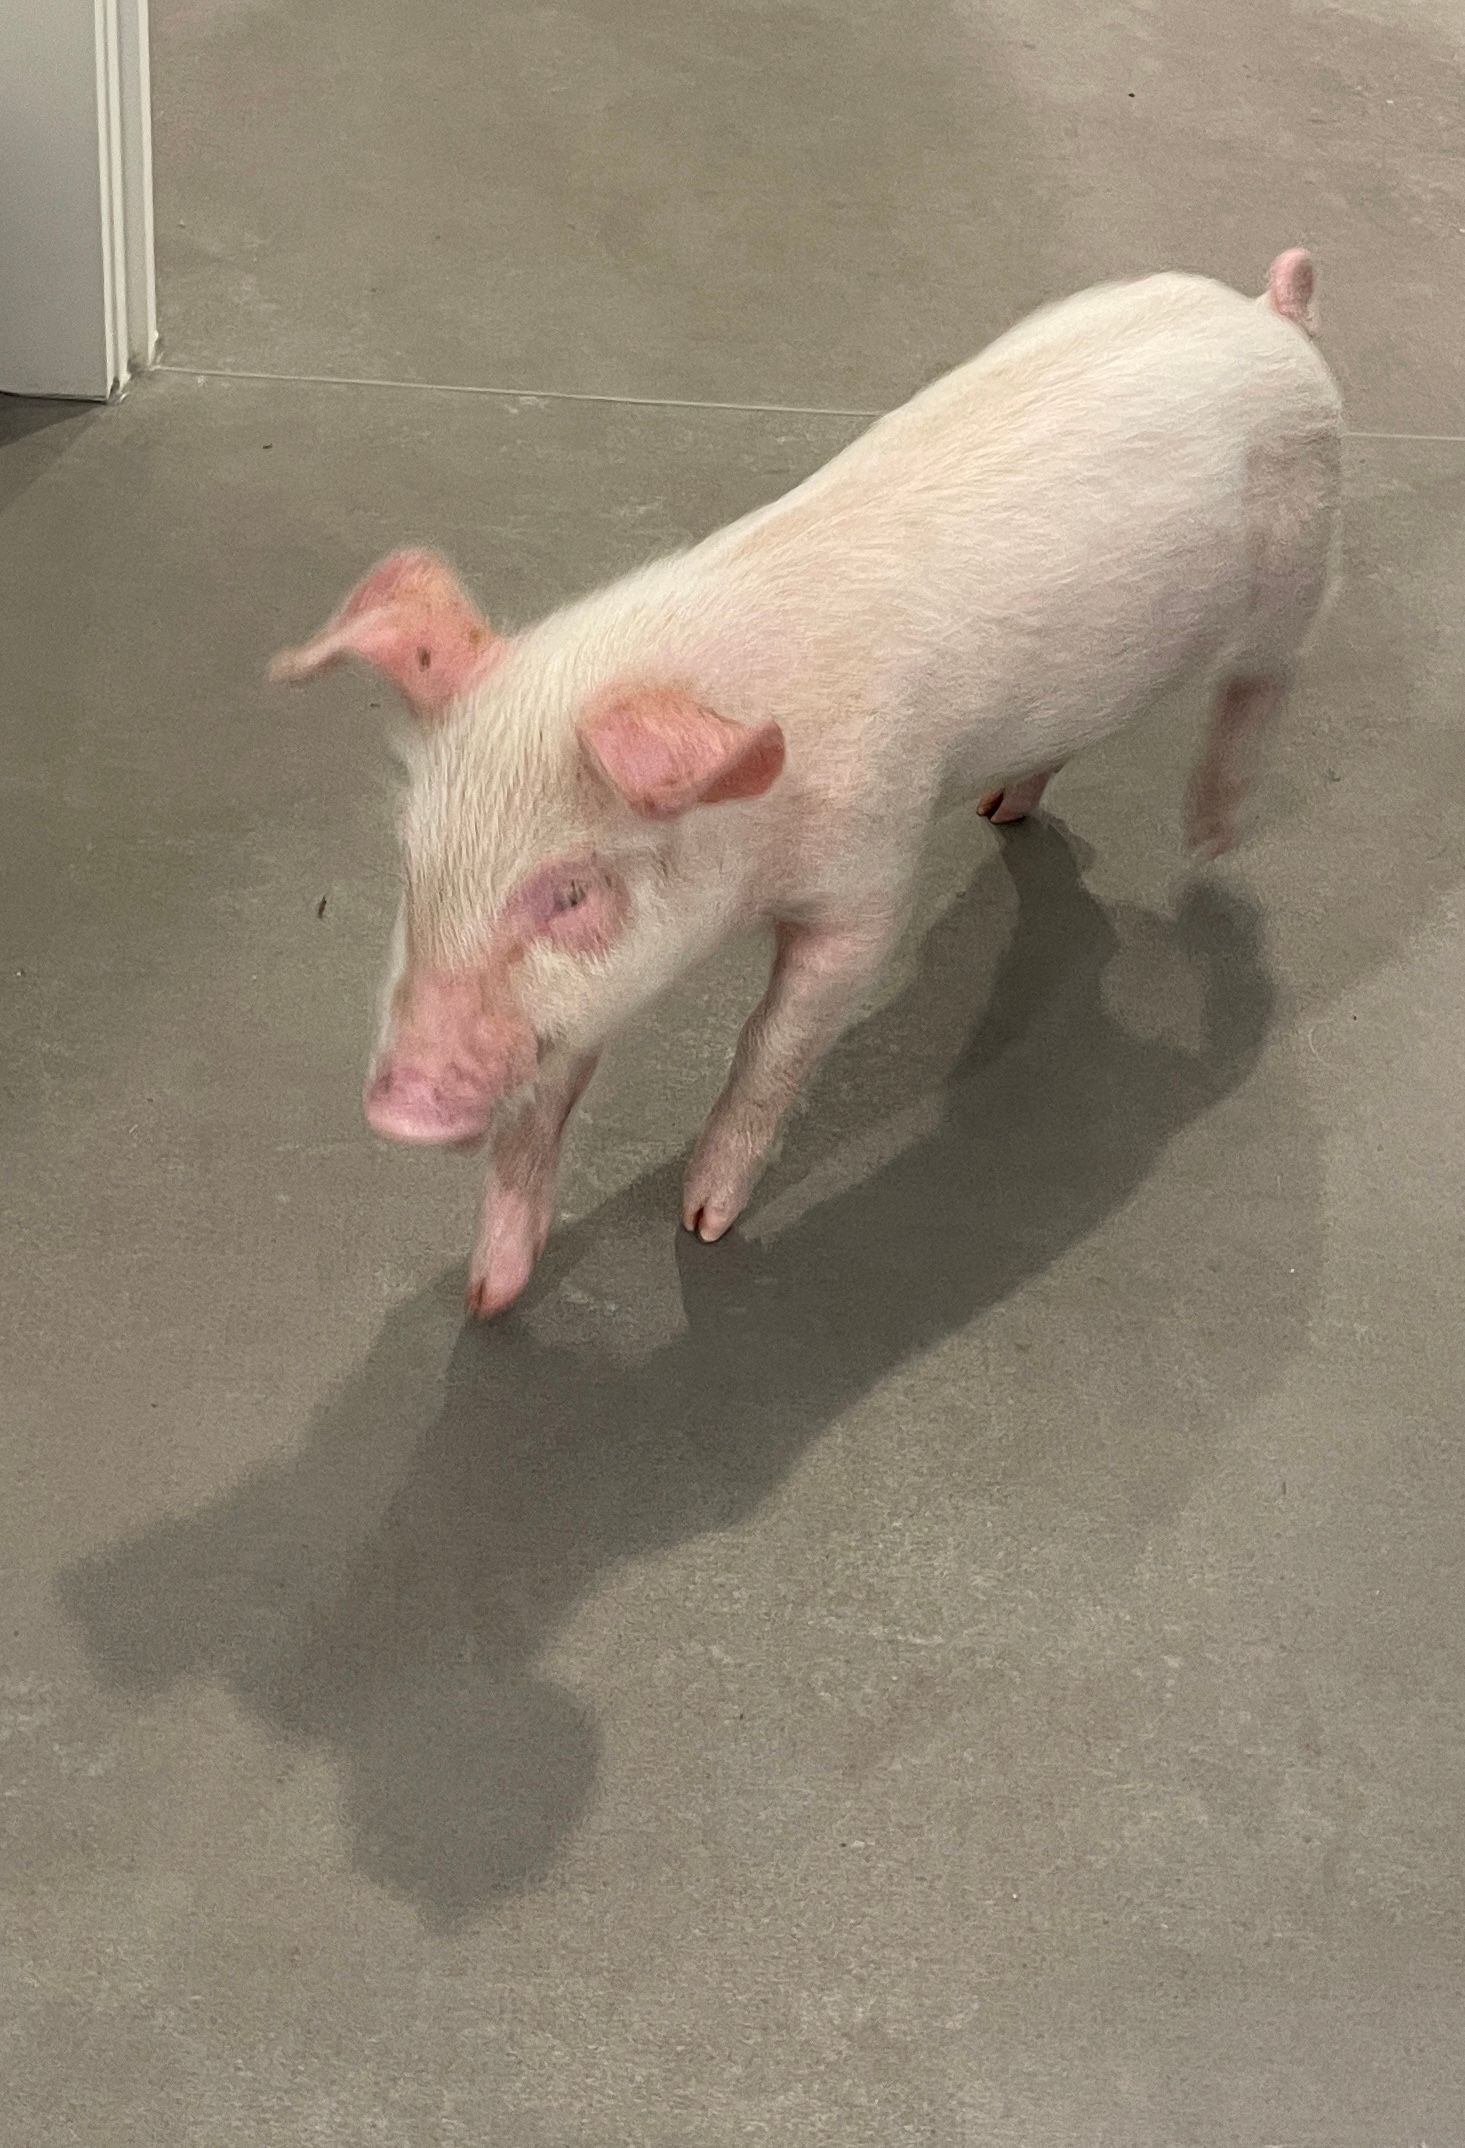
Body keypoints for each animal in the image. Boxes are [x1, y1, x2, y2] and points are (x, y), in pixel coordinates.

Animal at [271, 249, 1340, 1317]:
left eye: (570, 892)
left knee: (1263, 682)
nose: (397, 1110)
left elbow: (771, 1041)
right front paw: (487, 1296)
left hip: (1303, 563)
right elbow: (547, 1092)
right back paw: (1003, 809)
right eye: (412, 870)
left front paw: (701, 1225)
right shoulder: (582, 993)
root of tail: (1267, 313)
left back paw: (1211, 837)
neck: (753, 842)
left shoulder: (867, 880)